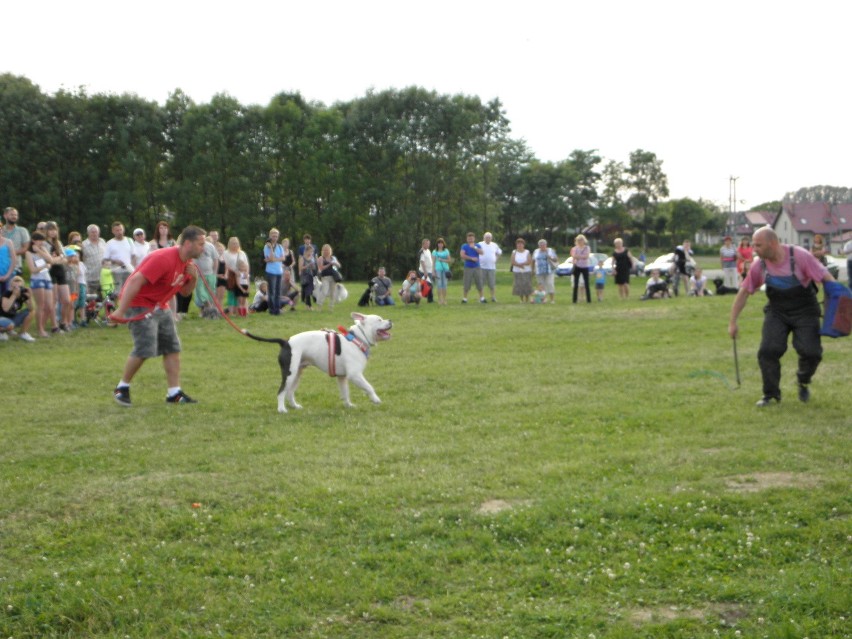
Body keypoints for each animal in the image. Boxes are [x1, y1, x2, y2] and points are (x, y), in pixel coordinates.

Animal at [246, 312, 392, 412]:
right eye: (379, 319)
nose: (390, 320)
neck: (358, 338)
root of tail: (285, 342)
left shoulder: (342, 377)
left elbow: (345, 393)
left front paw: (348, 405)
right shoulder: (355, 375)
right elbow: (369, 387)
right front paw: (376, 399)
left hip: (296, 374)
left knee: (289, 392)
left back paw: (295, 406)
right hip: (289, 374)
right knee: (281, 391)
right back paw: (282, 409)